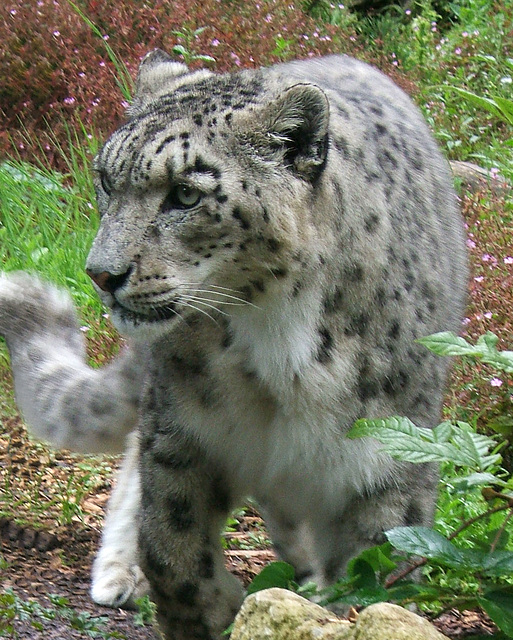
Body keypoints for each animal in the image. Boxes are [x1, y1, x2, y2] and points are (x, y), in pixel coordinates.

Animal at [0, 51, 466, 640]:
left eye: (186, 193)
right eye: (106, 180)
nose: (101, 274)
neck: (278, 347)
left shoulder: (389, 461)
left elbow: (376, 574)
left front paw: (329, 611)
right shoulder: (183, 432)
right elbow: (170, 544)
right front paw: (213, 609)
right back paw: (120, 572)